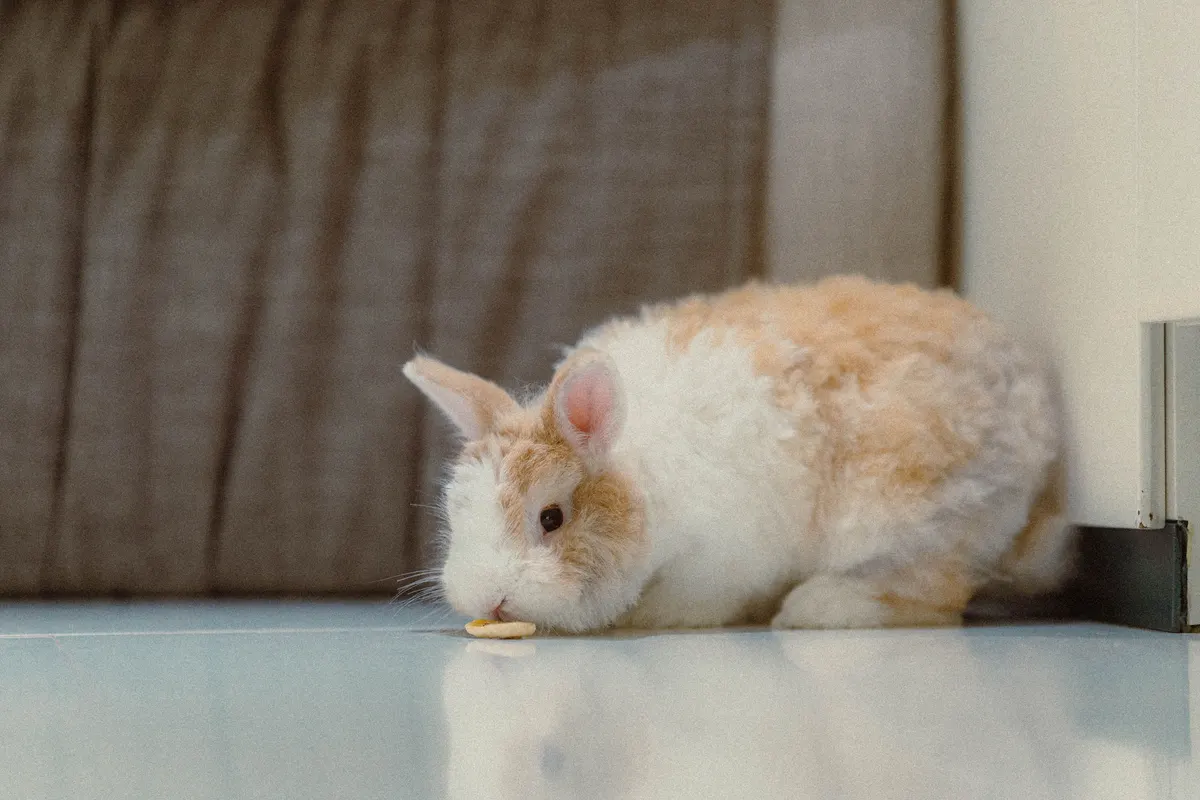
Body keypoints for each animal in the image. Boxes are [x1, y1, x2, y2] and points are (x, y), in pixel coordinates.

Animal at [403, 275, 1072, 632]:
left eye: (551, 518)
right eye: (456, 513)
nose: (488, 598)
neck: (647, 483)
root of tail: (1035, 413)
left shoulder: (725, 557)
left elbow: (700, 598)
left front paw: (649, 617)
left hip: (913, 514)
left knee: (934, 589)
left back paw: (815, 609)